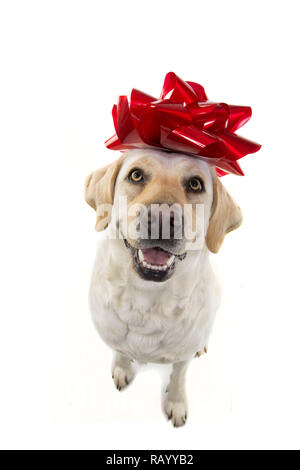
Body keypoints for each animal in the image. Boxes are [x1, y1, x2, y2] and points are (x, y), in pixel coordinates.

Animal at [84, 148, 241, 426]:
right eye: (135, 175)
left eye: (195, 184)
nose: (161, 219)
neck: (147, 300)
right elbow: (121, 352)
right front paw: (122, 368)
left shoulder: (182, 358)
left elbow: (178, 376)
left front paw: (175, 403)